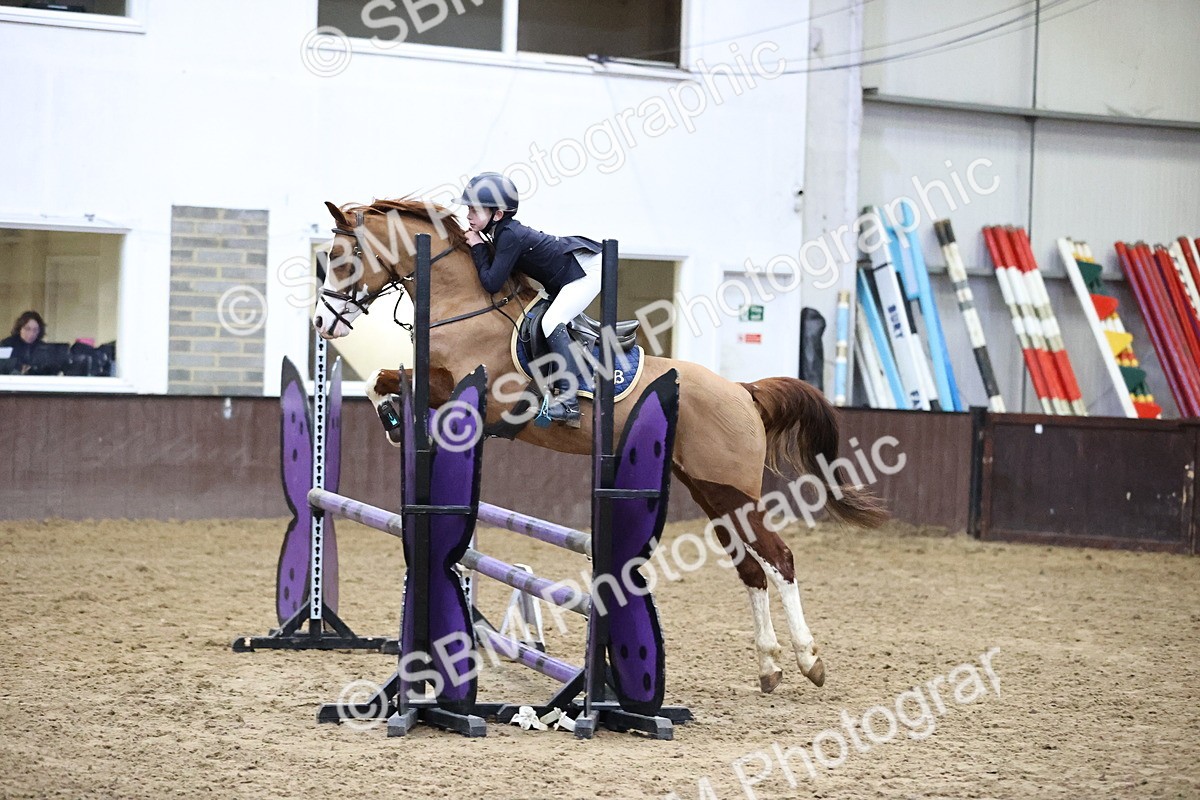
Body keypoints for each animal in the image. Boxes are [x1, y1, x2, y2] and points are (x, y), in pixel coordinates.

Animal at [312, 197, 887, 693]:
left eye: (340, 258)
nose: (321, 323)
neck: (463, 305)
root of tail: (742, 391)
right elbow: (384, 381)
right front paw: (394, 420)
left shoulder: (484, 398)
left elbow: (391, 380)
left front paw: (394, 418)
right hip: (711, 492)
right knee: (751, 569)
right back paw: (769, 667)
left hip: (733, 491)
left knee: (780, 559)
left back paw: (809, 661)